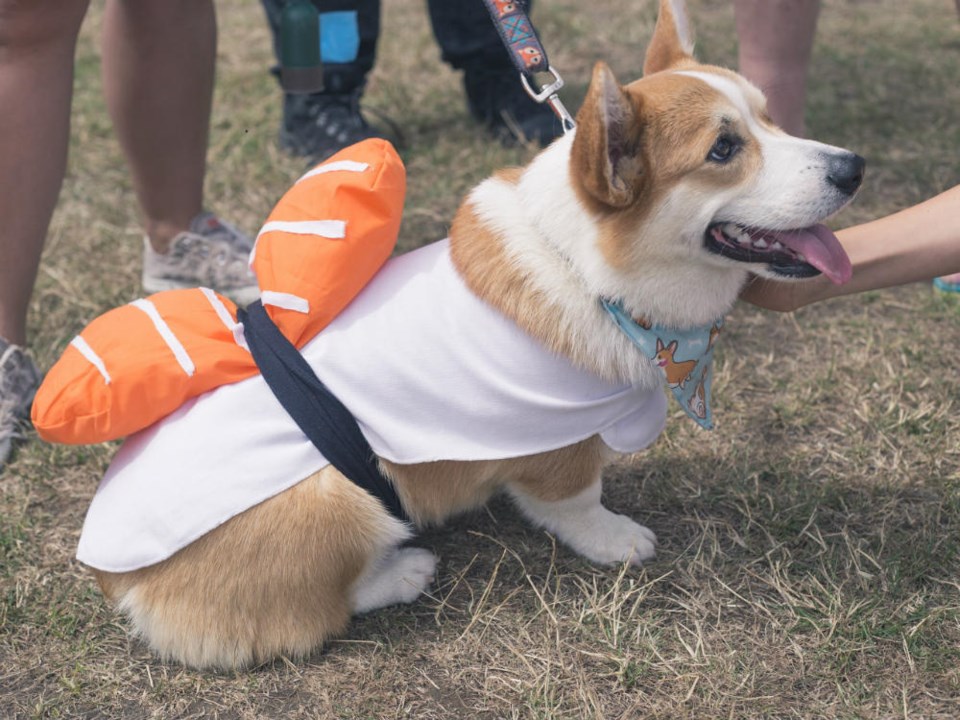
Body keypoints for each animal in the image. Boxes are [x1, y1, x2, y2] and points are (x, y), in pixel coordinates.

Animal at [90, 0, 864, 668]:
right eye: (724, 149)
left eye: (771, 119)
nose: (854, 167)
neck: (589, 267)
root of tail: (115, 581)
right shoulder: (556, 439)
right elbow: (576, 498)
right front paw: (616, 540)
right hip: (343, 499)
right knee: (309, 614)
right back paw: (402, 573)